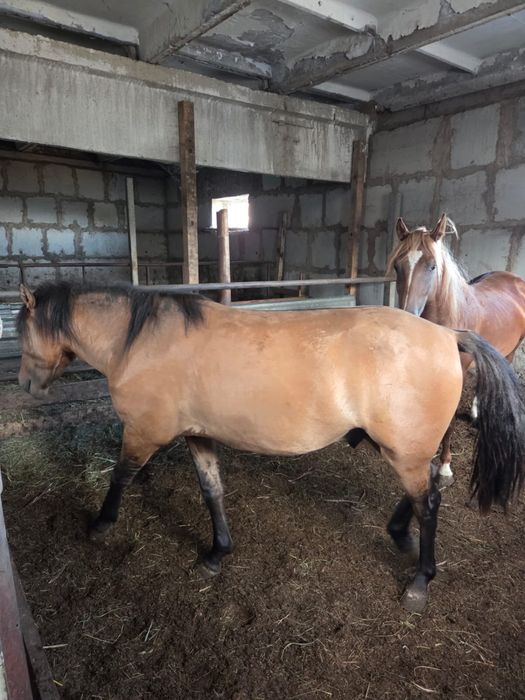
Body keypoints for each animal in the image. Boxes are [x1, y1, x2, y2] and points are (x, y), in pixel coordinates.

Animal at [16, 281, 525, 613]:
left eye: (21, 331)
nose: (26, 385)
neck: (140, 342)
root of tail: (448, 334)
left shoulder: (144, 431)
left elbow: (120, 475)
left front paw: (101, 524)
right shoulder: (198, 433)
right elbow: (212, 491)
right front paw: (216, 552)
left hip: (406, 452)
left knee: (429, 503)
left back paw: (420, 580)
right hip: (408, 450)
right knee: (421, 495)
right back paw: (399, 533)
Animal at [387, 213, 525, 482]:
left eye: (432, 266)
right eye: (398, 266)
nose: (407, 317)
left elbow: (448, 421)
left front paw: (444, 467)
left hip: (511, 349)